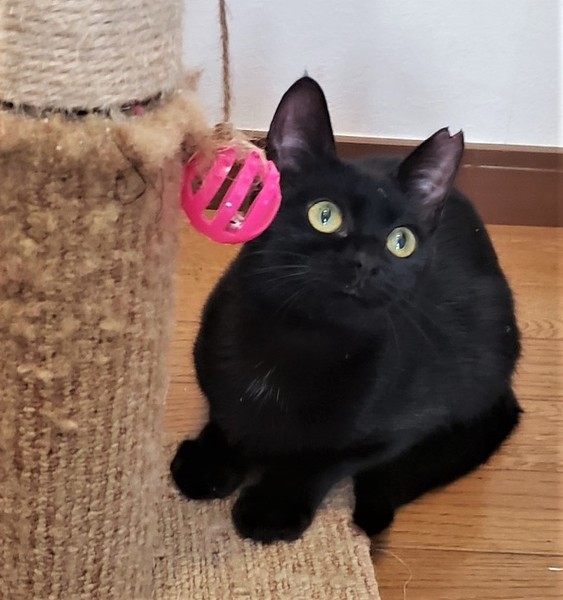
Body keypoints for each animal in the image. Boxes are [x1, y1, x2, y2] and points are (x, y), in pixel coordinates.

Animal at [171, 76, 522, 544]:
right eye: (325, 215)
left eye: (401, 241)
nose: (367, 262)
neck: (298, 337)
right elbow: (225, 414)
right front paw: (207, 461)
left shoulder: (391, 433)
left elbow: (322, 459)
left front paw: (272, 507)